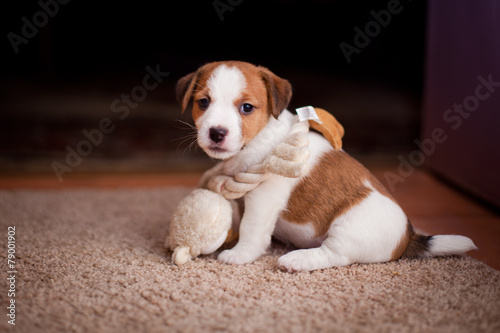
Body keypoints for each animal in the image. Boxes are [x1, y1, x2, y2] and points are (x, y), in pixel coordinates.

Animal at [176, 61, 476, 272]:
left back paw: (296, 260)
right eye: (203, 102)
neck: (261, 139)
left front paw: (240, 253)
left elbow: (252, 227)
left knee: (334, 255)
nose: (217, 132)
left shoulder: (263, 198)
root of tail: (409, 235)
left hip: (347, 229)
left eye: (247, 107)